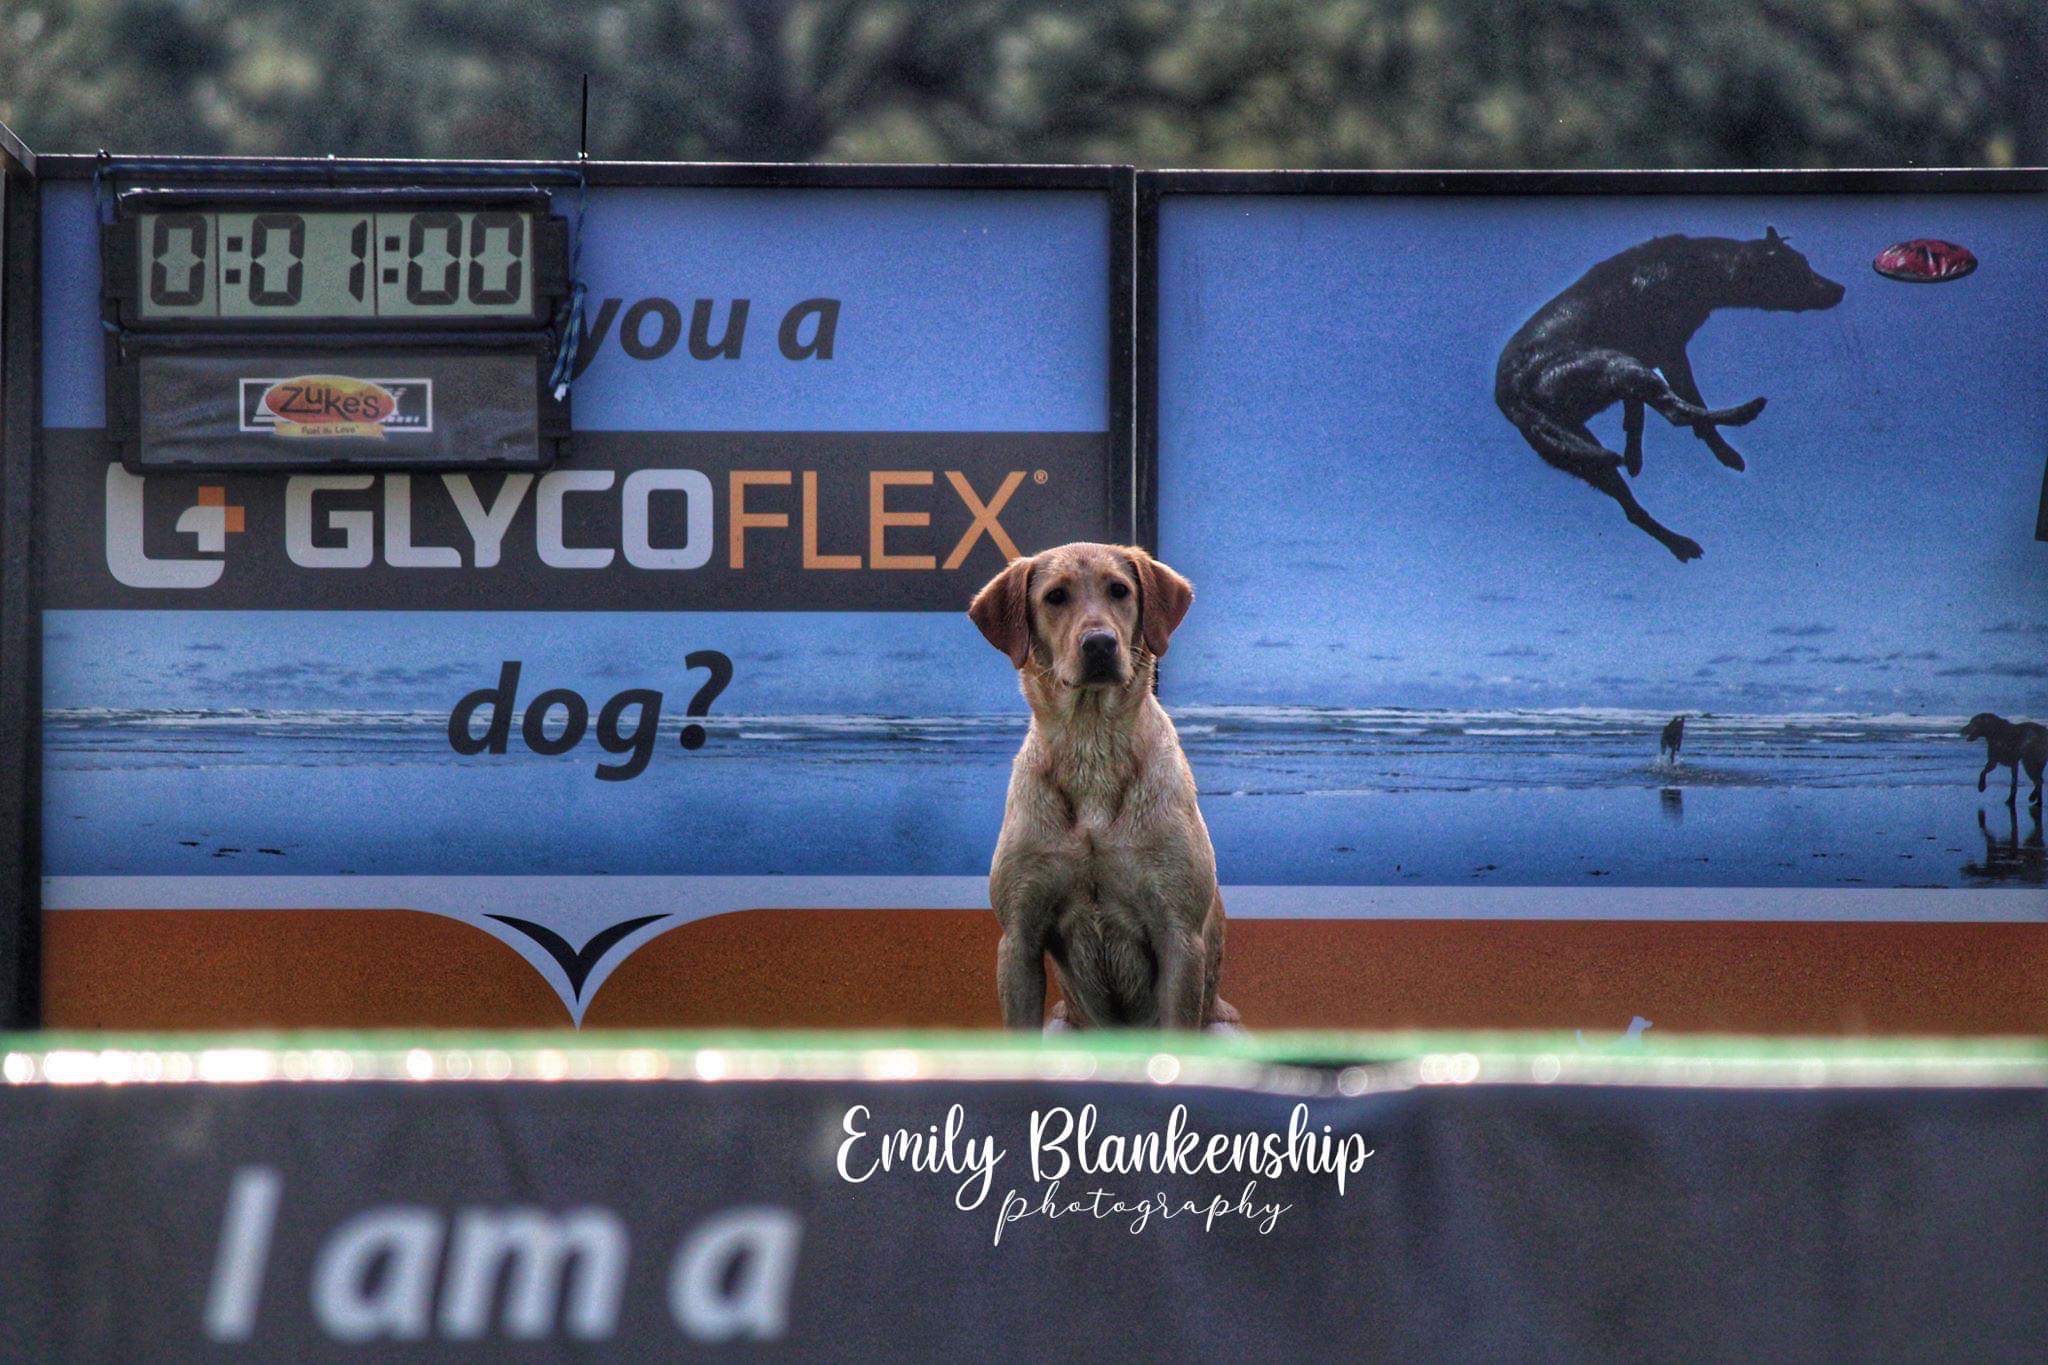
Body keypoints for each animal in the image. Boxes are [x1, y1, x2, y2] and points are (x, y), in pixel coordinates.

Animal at [966, 540, 1236, 1031]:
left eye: (1119, 590)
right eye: (1055, 596)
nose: (1099, 643)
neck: (1092, 749)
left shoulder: (1179, 938)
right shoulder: (1018, 940)